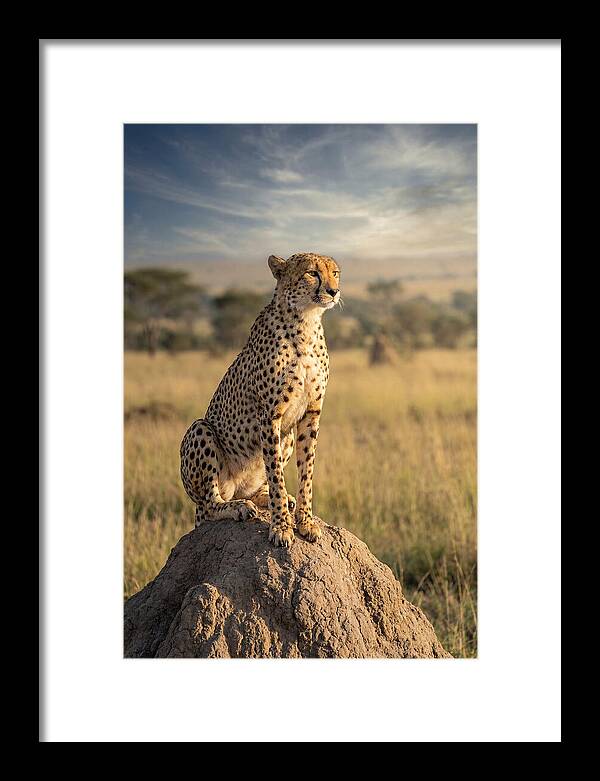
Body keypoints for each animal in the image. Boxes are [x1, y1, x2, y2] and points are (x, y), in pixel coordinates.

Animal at [180, 252, 341, 548]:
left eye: (335, 273)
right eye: (312, 273)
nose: (333, 291)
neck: (306, 321)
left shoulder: (311, 413)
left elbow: (306, 472)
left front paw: (305, 521)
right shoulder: (270, 415)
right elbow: (276, 473)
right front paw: (281, 527)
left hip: (286, 436)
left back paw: (269, 499)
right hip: (200, 430)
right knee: (209, 504)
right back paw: (238, 507)